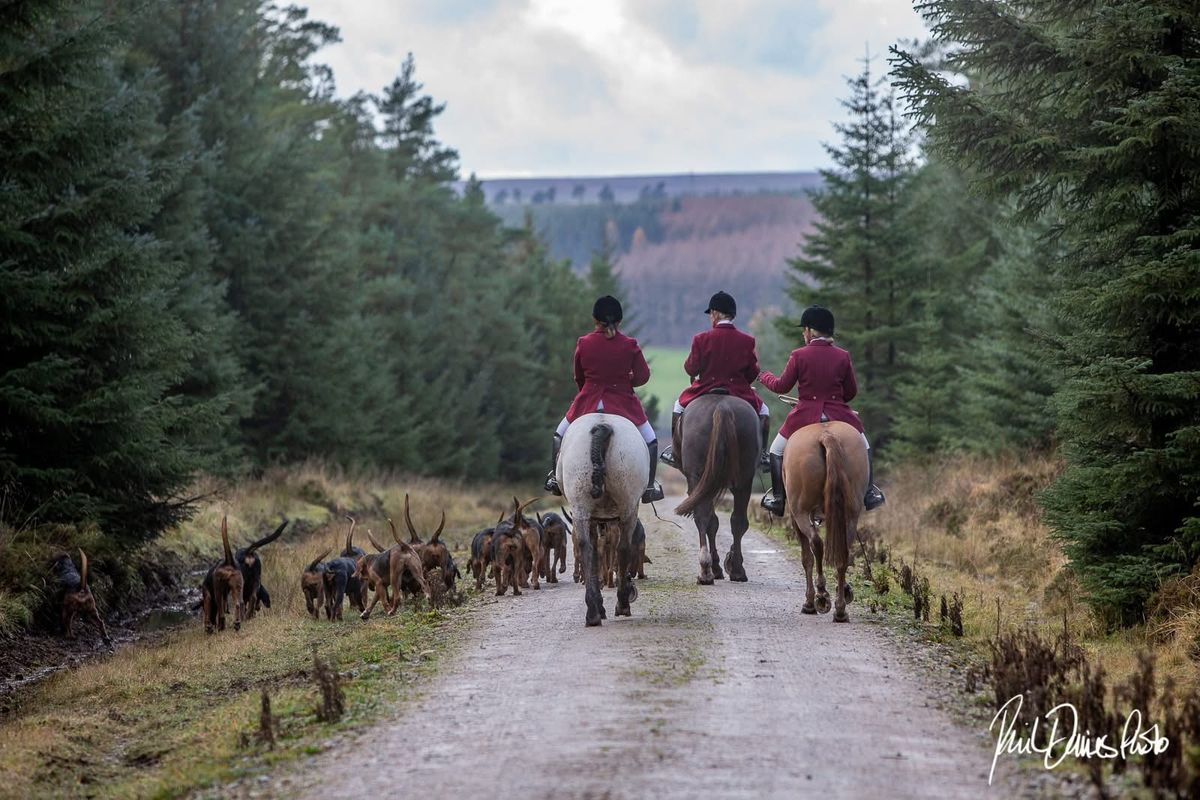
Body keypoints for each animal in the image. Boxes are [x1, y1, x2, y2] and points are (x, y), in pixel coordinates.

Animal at [559, 412, 648, 623]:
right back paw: (621, 604)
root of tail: (602, 424)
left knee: (587, 548)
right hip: (628, 507)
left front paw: (599, 604)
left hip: (581, 507)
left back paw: (593, 612)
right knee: (622, 548)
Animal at [676, 395, 758, 587]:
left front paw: (717, 567)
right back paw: (736, 570)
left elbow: (711, 522)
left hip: (699, 477)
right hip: (744, 478)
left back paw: (706, 570)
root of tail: (722, 407)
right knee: (738, 521)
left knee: (702, 518)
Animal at [782, 422, 868, 623]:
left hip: (801, 512)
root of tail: (826, 435)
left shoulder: (796, 518)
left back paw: (821, 596)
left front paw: (809, 602)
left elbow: (806, 558)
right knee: (843, 553)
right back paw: (840, 610)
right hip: (850, 514)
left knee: (816, 544)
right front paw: (844, 590)